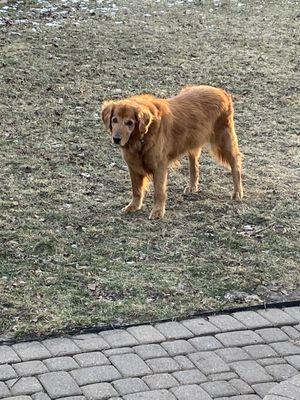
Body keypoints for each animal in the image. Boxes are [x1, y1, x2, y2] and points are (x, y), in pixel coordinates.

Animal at [102, 85, 243, 220]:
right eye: (114, 120)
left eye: (130, 123)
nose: (116, 139)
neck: (142, 137)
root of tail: (221, 91)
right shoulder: (133, 165)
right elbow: (136, 189)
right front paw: (134, 206)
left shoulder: (159, 167)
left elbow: (159, 192)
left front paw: (158, 211)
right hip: (192, 142)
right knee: (194, 165)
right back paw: (192, 186)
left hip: (224, 142)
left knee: (235, 164)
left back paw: (237, 192)